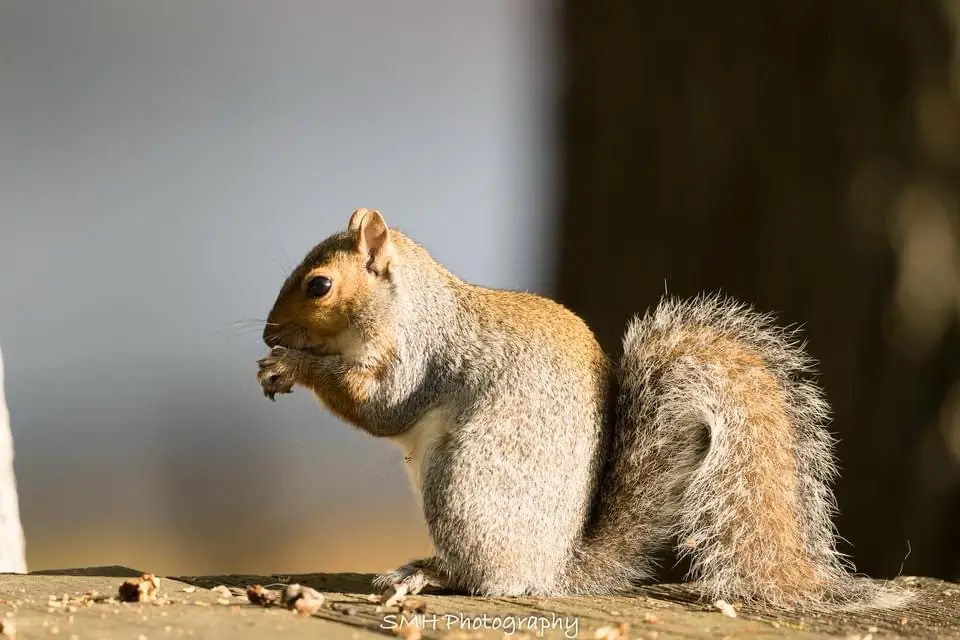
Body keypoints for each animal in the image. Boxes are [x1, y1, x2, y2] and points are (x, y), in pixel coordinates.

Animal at [257, 208, 907, 611]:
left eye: (319, 286)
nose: (268, 333)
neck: (411, 304)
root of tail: (553, 569)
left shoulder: (420, 358)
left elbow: (382, 409)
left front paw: (293, 366)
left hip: (461, 482)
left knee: (484, 578)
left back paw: (426, 572)